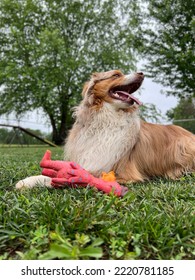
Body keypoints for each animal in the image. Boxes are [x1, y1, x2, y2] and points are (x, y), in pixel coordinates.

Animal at [16, 69, 195, 188]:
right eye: (116, 75)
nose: (141, 73)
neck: (107, 118)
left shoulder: (116, 170)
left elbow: (75, 175)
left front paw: (31, 181)